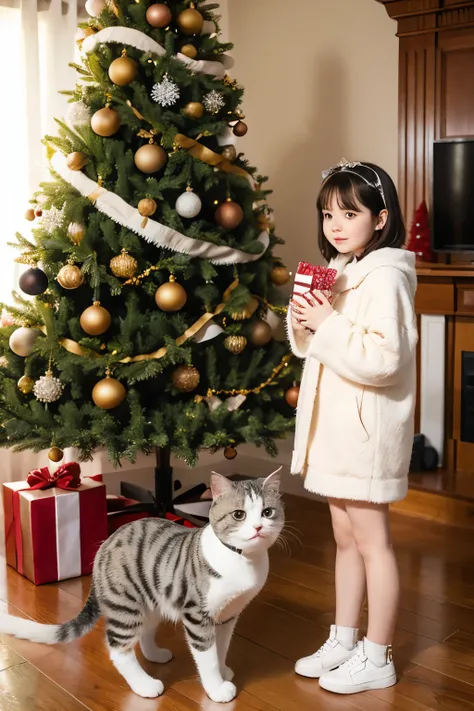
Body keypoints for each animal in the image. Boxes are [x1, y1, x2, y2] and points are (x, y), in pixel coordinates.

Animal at [0, 470, 286, 704]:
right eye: (239, 515)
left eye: (267, 512)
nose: (258, 527)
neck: (243, 560)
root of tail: (103, 546)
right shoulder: (197, 615)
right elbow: (207, 654)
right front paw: (217, 688)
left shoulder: (228, 614)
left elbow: (222, 647)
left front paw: (223, 669)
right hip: (125, 605)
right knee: (118, 648)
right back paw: (144, 685)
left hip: (152, 601)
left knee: (145, 632)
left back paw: (156, 655)